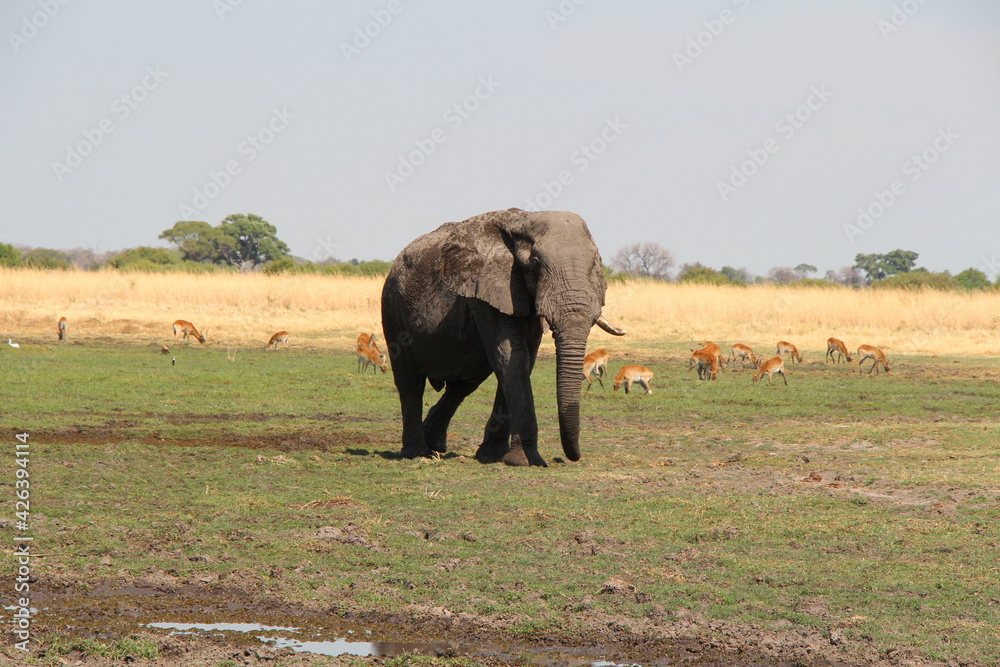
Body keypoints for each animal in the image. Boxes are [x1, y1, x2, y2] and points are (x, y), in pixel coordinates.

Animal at [380, 208, 626, 467]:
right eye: (535, 263)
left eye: (596, 264)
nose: (568, 458)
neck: (524, 221)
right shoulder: (486, 288)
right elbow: (512, 358)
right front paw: (526, 461)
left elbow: (523, 361)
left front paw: (494, 455)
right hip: (393, 308)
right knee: (410, 382)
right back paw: (418, 453)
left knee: (464, 385)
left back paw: (435, 445)